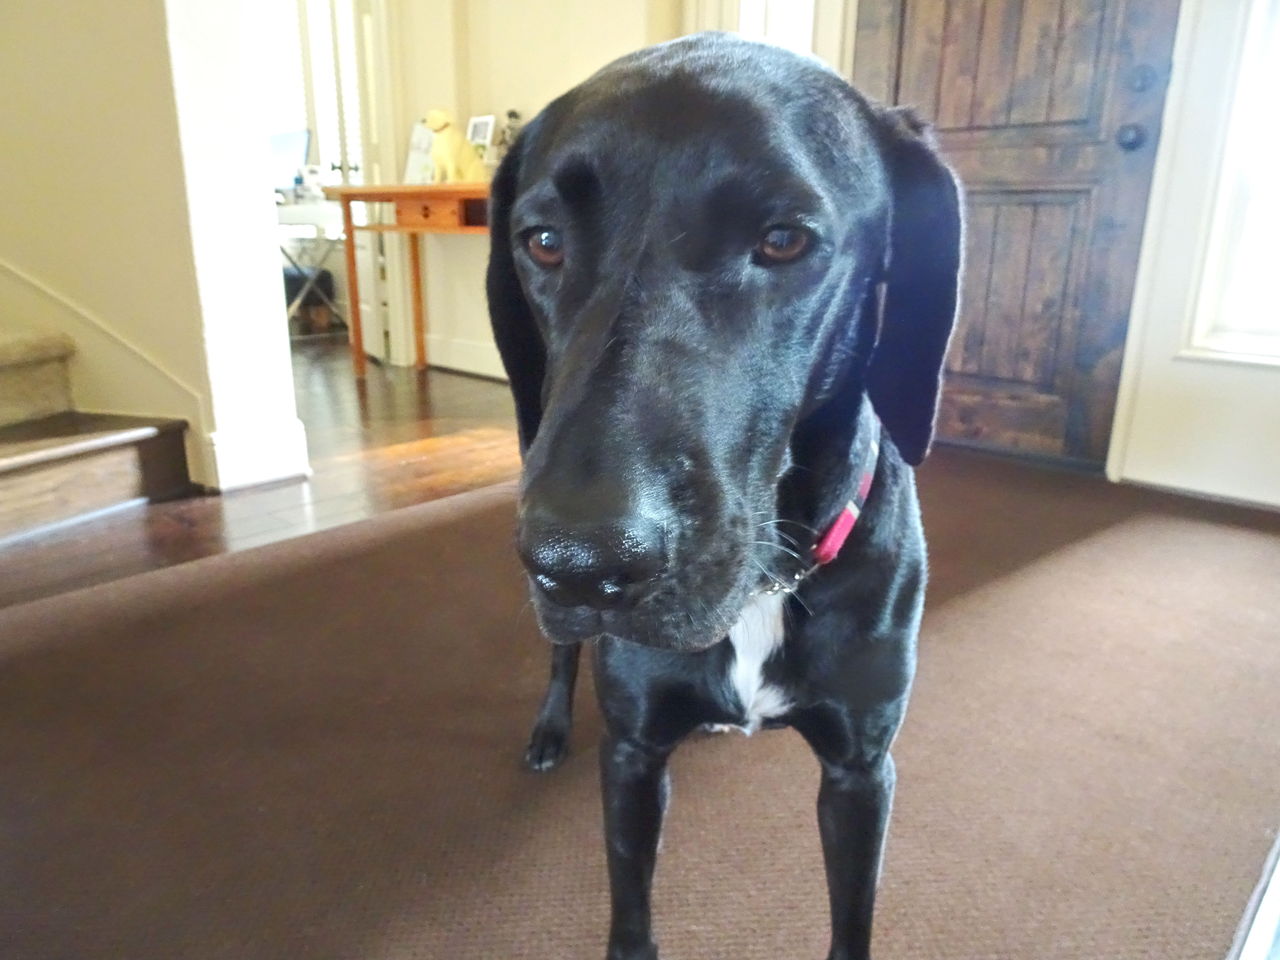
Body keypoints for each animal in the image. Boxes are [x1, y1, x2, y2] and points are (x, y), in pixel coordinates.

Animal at [486, 32, 962, 960]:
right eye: (544, 242)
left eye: (782, 240)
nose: (580, 564)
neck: (765, 587)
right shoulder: (633, 755)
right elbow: (631, 922)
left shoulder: (861, 771)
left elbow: (852, 921)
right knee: (560, 656)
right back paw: (550, 726)